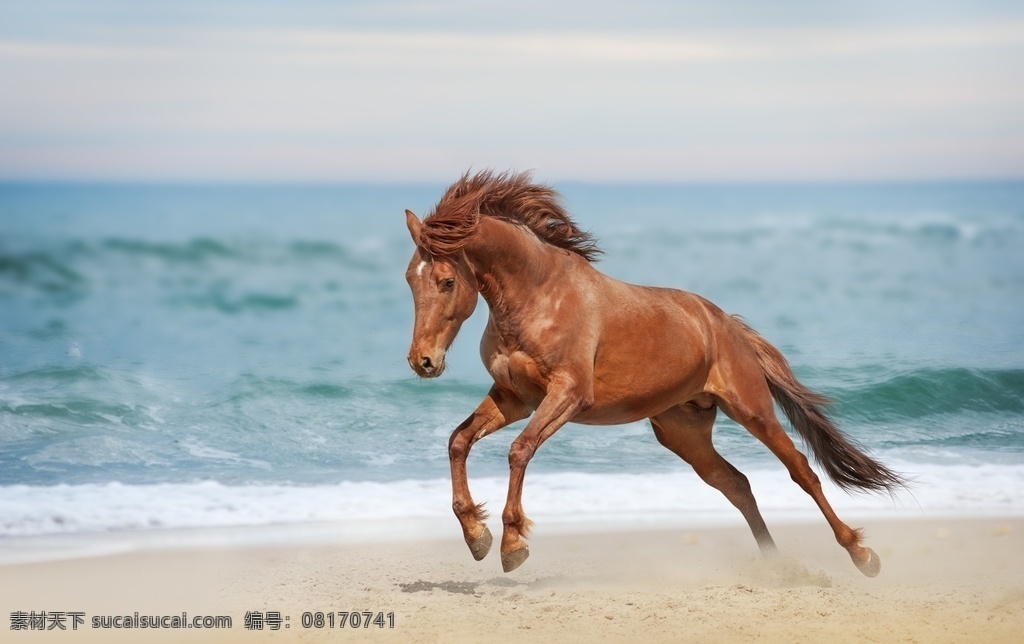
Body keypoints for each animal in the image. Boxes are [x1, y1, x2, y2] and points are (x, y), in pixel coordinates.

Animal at [403, 170, 903, 576]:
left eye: (447, 281)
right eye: (410, 278)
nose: (422, 361)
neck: (538, 296)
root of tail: (727, 324)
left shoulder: (567, 395)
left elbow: (519, 450)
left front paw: (511, 545)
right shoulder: (515, 398)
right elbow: (458, 442)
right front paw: (476, 536)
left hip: (752, 410)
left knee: (802, 471)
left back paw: (862, 554)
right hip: (683, 431)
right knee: (736, 485)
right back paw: (777, 565)